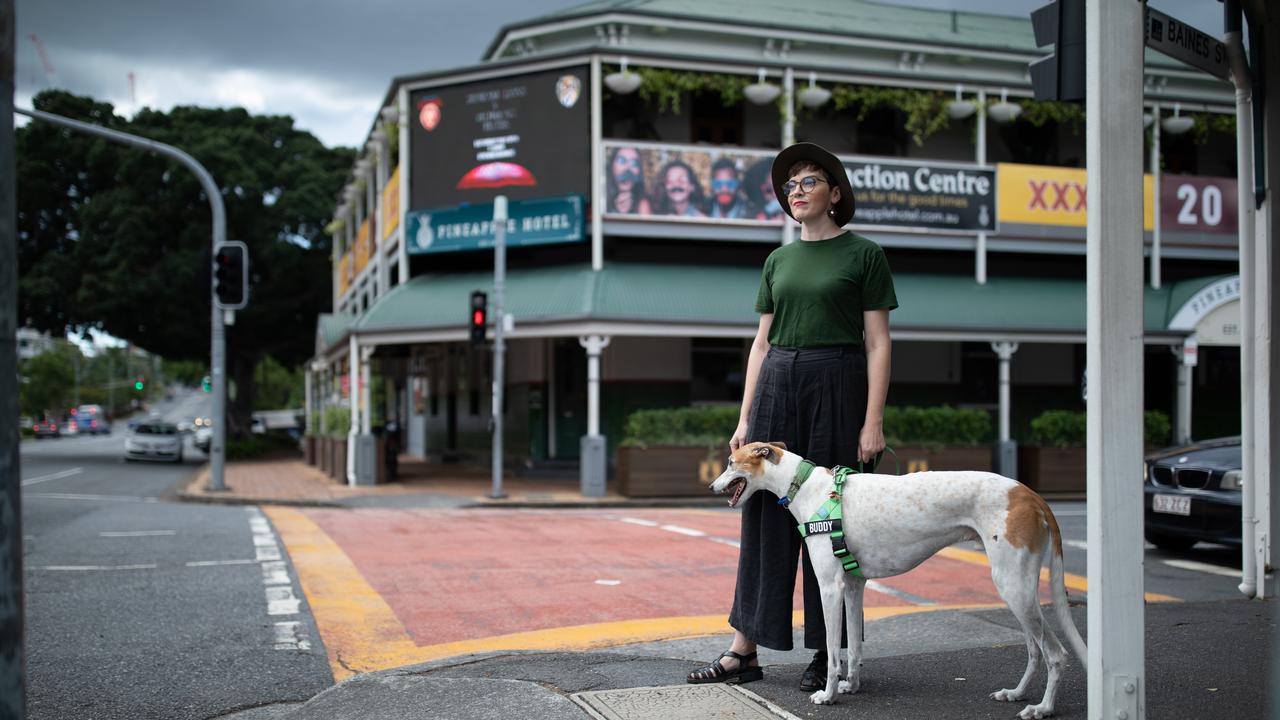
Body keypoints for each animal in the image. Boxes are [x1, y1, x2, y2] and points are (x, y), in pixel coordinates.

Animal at [716, 440, 1085, 712]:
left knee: (1055, 654)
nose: (712, 484)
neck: (808, 486)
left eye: (732, 462)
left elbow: (834, 651)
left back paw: (1043, 708)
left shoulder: (831, 588)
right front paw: (852, 686)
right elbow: (854, 647)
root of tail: (1030, 494)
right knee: (1035, 650)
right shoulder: (854, 585)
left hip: (1014, 588)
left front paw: (829, 695)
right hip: (1018, 591)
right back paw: (1017, 693)